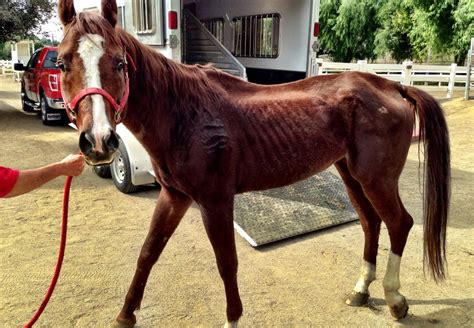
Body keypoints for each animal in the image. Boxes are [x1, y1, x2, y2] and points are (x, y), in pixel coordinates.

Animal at [56, 0, 452, 326]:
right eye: (61, 62)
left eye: (119, 63)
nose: (98, 141)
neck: (184, 112)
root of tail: (393, 88)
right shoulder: (174, 197)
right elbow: (148, 253)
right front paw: (125, 316)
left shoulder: (215, 202)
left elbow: (226, 263)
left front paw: (233, 318)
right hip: (351, 174)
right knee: (372, 223)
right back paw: (360, 290)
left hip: (377, 178)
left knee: (400, 223)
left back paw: (395, 299)